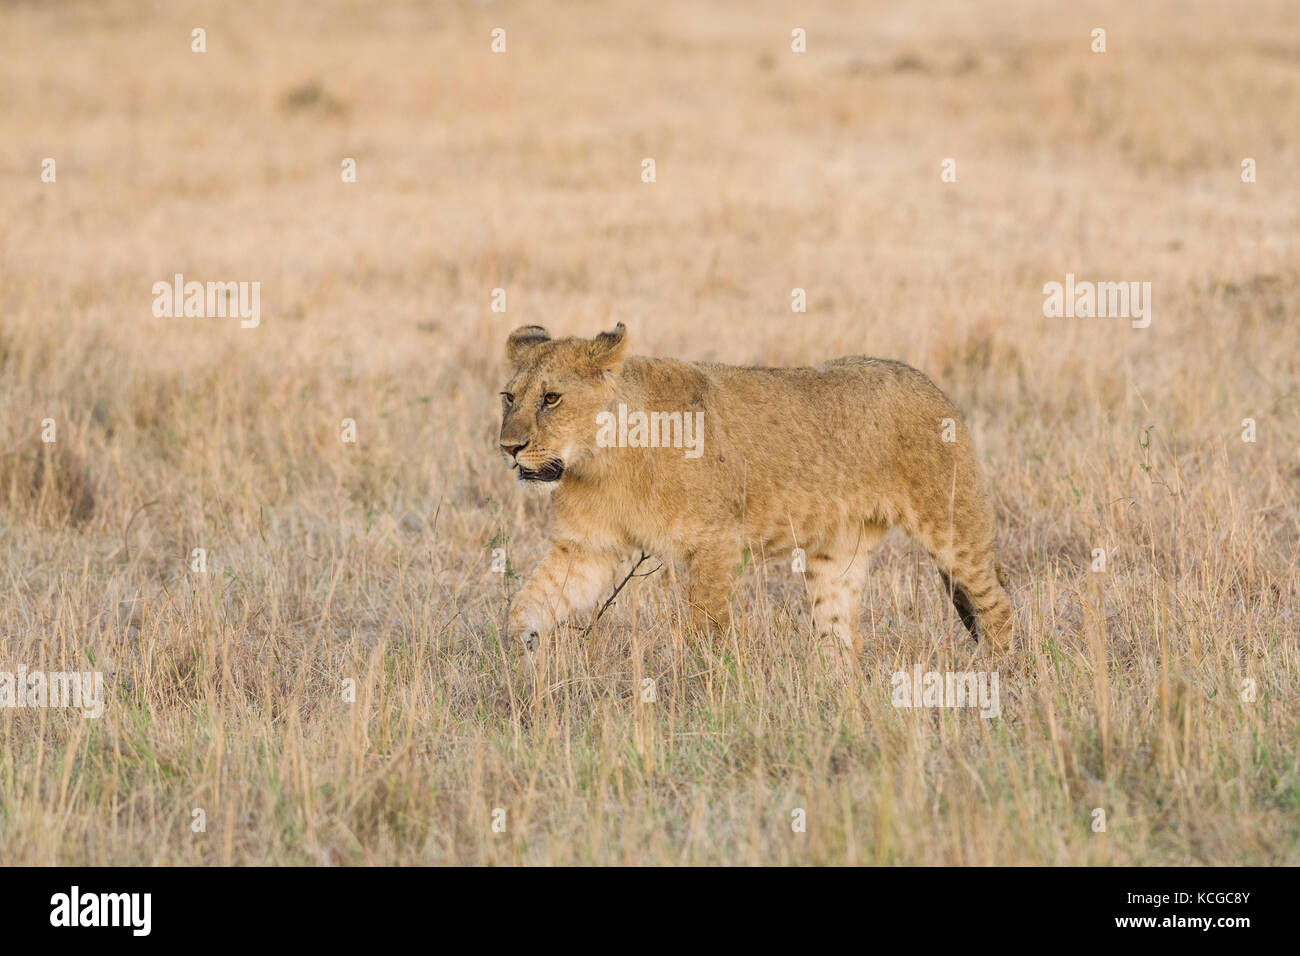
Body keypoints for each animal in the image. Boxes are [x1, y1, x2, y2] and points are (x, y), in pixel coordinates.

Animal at [499, 323, 1014, 658]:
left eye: (551, 398)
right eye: (509, 397)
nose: (509, 448)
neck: (601, 461)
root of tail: (931, 385)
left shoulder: (715, 543)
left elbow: (706, 628)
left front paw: (705, 694)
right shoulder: (587, 548)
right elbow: (528, 603)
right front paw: (520, 658)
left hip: (953, 523)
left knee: (997, 604)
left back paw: (1001, 676)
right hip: (839, 549)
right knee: (839, 634)